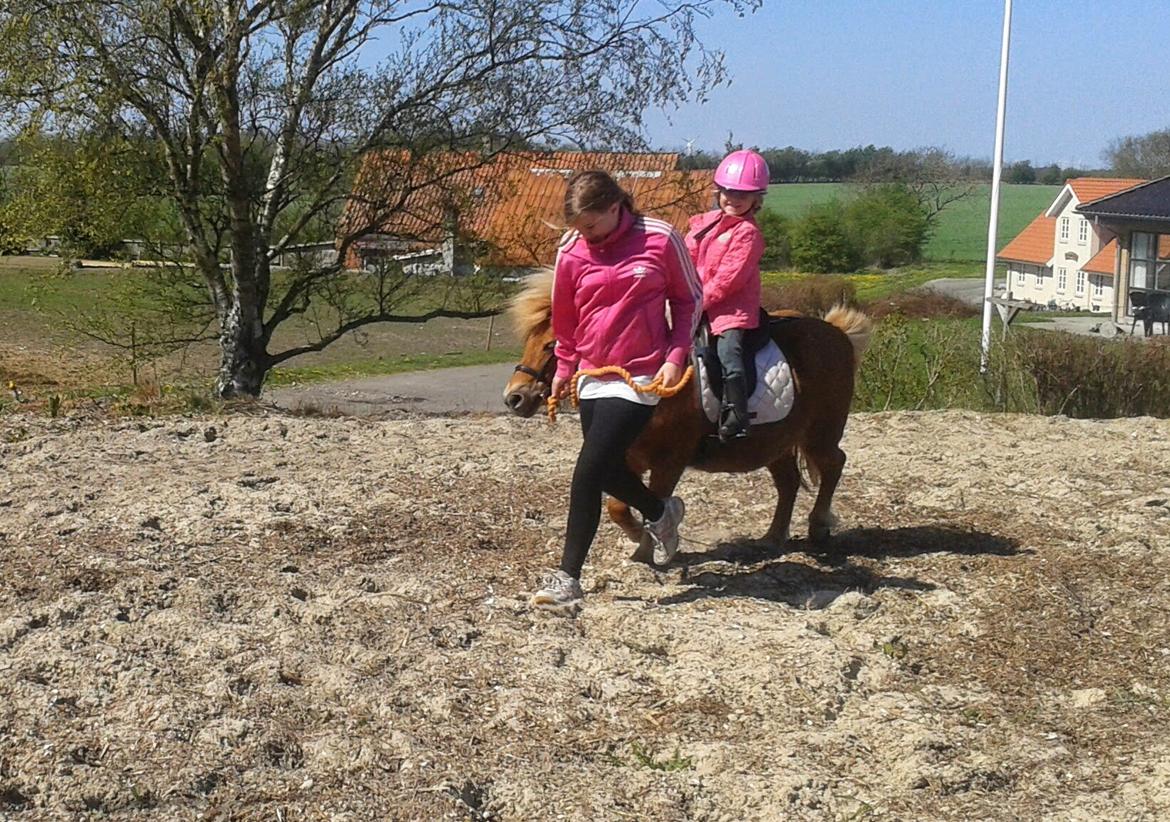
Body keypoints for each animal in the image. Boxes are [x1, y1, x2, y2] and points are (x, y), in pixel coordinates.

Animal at [503, 270, 870, 565]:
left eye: (551, 345)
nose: (514, 397)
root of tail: (837, 333)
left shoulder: (670, 461)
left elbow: (653, 501)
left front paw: (648, 548)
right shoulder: (627, 457)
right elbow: (618, 506)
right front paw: (638, 538)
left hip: (820, 432)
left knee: (833, 463)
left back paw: (818, 525)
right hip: (776, 442)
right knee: (789, 482)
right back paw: (772, 537)